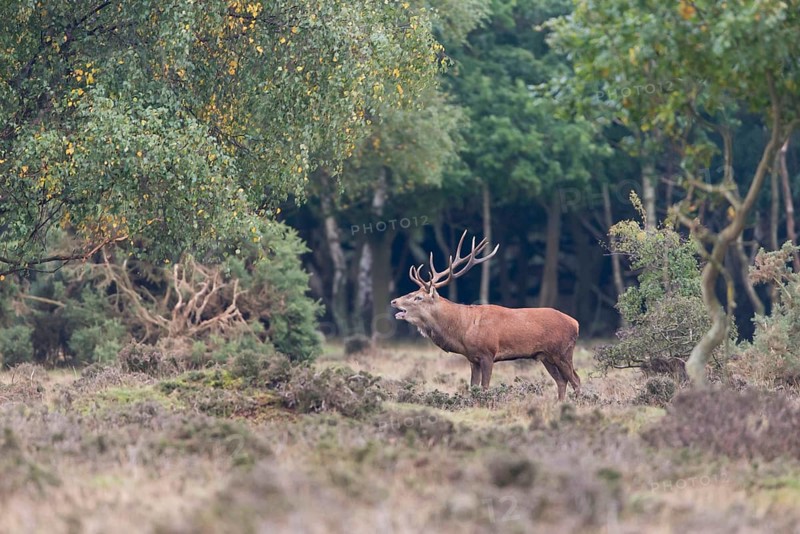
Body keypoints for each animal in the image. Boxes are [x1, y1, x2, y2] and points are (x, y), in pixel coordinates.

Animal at [390, 231, 581, 401]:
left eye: (418, 297)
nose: (394, 301)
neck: (463, 330)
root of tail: (576, 323)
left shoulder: (488, 354)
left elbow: (485, 387)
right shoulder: (472, 358)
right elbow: (473, 387)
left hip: (563, 352)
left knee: (576, 380)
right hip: (545, 356)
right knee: (562, 381)